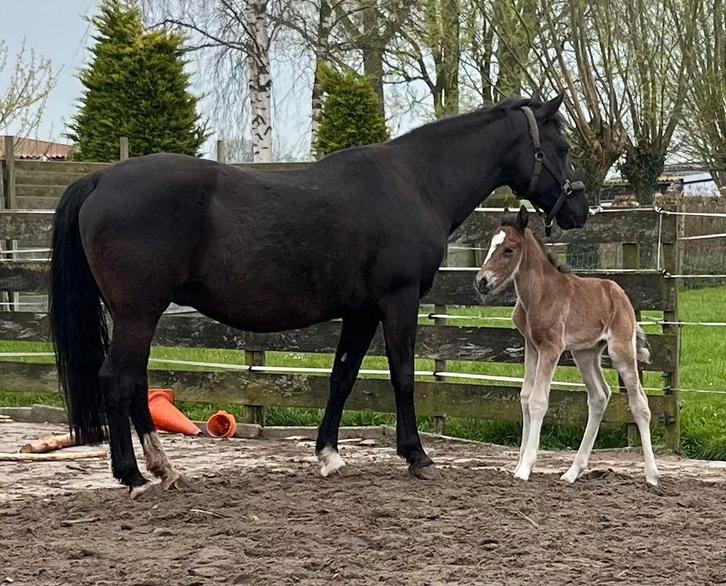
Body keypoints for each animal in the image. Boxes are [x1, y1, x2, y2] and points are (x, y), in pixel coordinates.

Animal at [49, 94, 588, 498]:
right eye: (561, 146)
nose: (580, 209)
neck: (415, 182)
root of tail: (101, 178)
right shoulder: (398, 301)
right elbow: (403, 376)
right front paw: (416, 455)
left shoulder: (361, 313)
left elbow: (341, 378)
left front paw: (329, 455)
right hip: (138, 313)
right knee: (119, 381)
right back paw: (137, 476)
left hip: (137, 316)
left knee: (130, 382)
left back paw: (159, 470)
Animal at [474, 207, 659, 486]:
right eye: (491, 244)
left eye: (509, 249)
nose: (481, 281)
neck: (538, 295)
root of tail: (619, 293)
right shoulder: (532, 346)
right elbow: (525, 397)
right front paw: (518, 463)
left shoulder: (551, 347)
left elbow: (538, 401)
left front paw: (525, 468)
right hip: (585, 353)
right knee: (599, 397)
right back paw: (573, 471)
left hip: (621, 350)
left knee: (640, 404)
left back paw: (652, 475)